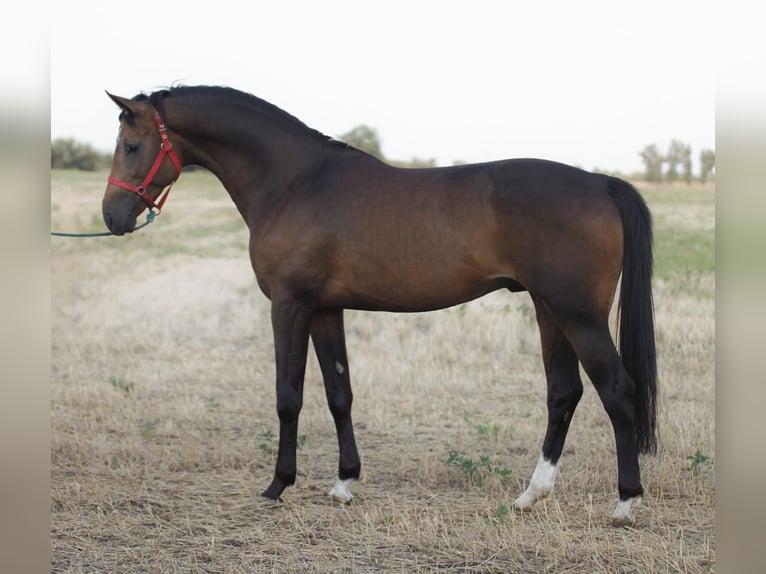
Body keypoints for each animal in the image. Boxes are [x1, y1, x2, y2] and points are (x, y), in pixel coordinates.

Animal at [99, 84, 656, 528]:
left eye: (131, 145)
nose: (112, 217)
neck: (294, 180)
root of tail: (601, 182)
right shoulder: (326, 311)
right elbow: (339, 393)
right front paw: (345, 482)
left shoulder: (289, 305)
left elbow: (288, 395)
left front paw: (278, 485)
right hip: (548, 310)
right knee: (564, 393)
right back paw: (530, 496)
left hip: (578, 316)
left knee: (617, 390)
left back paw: (625, 503)